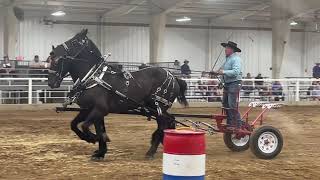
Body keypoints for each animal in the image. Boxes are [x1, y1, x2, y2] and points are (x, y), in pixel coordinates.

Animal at [47, 29, 188, 160]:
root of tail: (174, 78)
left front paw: (94, 139)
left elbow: (86, 126)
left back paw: (151, 152)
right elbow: (77, 125)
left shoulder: (100, 109)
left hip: (159, 107)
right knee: (169, 120)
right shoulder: (88, 109)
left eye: (74, 42)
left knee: (163, 124)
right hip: (155, 109)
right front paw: (100, 151)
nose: (51, 83)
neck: (93, 77)